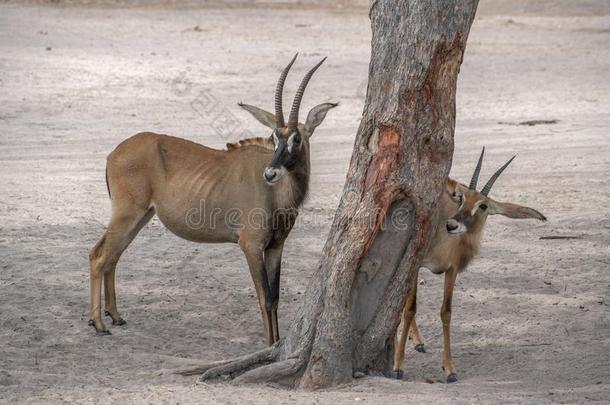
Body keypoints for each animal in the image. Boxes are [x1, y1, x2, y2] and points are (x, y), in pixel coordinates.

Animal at [87, 52, 334, 344]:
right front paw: (267, 345)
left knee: (113, 255)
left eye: (297, 138)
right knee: (99, 255)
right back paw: (99, 324)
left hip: (141, 216)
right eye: (275, 137)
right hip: (128, 213)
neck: (276, 194)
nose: (270, 173)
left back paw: (115, 316)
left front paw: (275, 342)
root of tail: (113, 153)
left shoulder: (276, 246)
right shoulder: (251, 246)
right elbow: (264, 298)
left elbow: (275, 298)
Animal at [392, 148, 544, 382]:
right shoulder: (415, 265)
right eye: (462, 198)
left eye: (483, 205)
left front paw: (449, 369)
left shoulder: (452, 270)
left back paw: (418, 342)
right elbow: (409, 308)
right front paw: (398, 365)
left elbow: (446, 312)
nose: (451, 225)